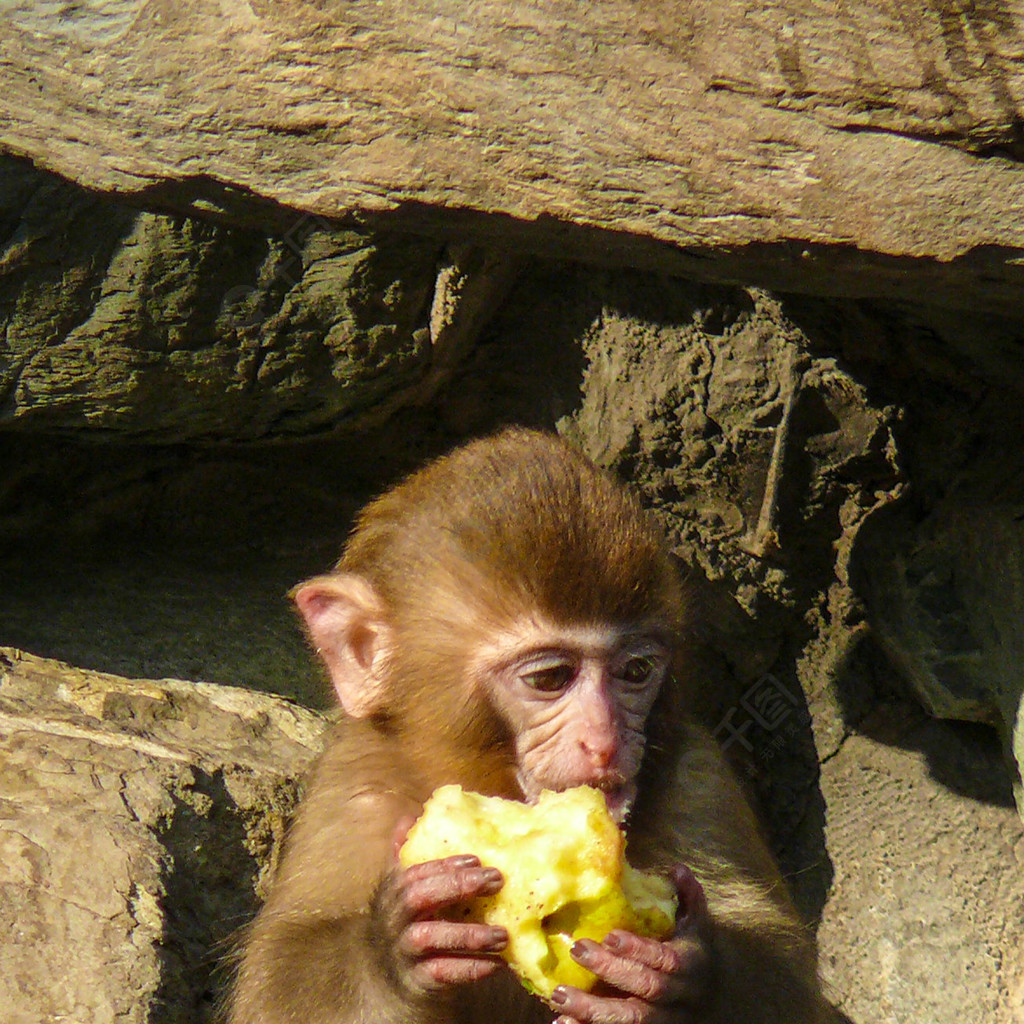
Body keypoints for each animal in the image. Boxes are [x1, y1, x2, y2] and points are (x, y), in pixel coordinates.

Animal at [226, 425, 831, 1024]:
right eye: (550, 678)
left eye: (635, 672)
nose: (605, 742)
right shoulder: (354, 791)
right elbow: (280, 986)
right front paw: (395, 950)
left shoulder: (699, 779)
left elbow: (788, 988)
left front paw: (680, 979)